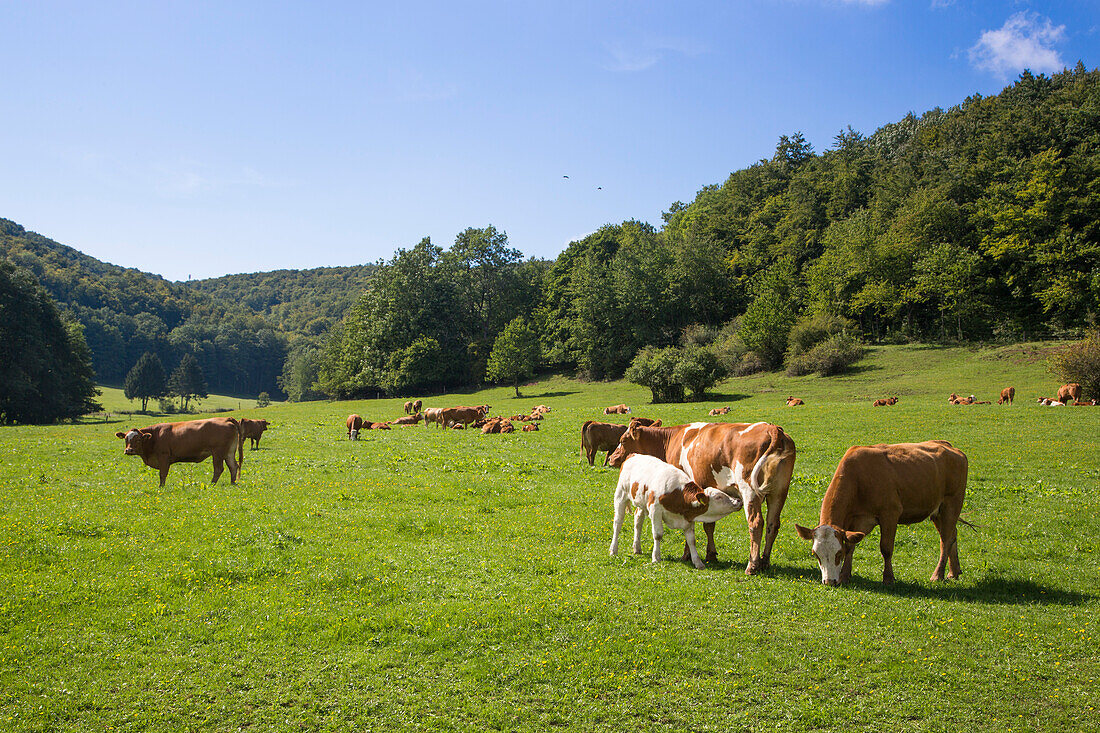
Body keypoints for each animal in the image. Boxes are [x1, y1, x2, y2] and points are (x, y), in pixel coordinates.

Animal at [114, 416, 244, 484]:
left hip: (218, 452)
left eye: (138, 439)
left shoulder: (164, 457)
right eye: (126, 438)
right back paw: (232, 483)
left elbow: (162, 474)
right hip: (229, 452)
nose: (129, 450)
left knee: (219, 469)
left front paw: (161, 488)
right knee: (233, 466)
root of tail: (226, 418)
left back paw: (211, 484)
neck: (155, 436)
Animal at [611, 453, 739, 567]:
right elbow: (658, 534)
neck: (678, 494)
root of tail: (633, 455)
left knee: (638, 521)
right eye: (718, 497)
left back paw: (637, 548)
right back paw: (613, 550)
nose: (738, 501)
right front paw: (656, 557)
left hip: (641, 503)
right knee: (618, 523)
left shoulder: (688, 518)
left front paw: (698, 562)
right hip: (620, 496)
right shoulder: (655, 510)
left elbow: (691, 540)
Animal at [796, 435, 968, 585]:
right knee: (952, 535)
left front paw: (888, 578)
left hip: (951, 504)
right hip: (938, 512)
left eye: (838, 553)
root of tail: (950, 447)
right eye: (815, 554)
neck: (859, 480)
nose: (829, 582)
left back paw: (938, 574)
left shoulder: (890, 514)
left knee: (945, 540)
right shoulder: (854, 522)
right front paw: (845, 575)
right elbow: (851, 545)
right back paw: (954, 571)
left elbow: (886, 548)